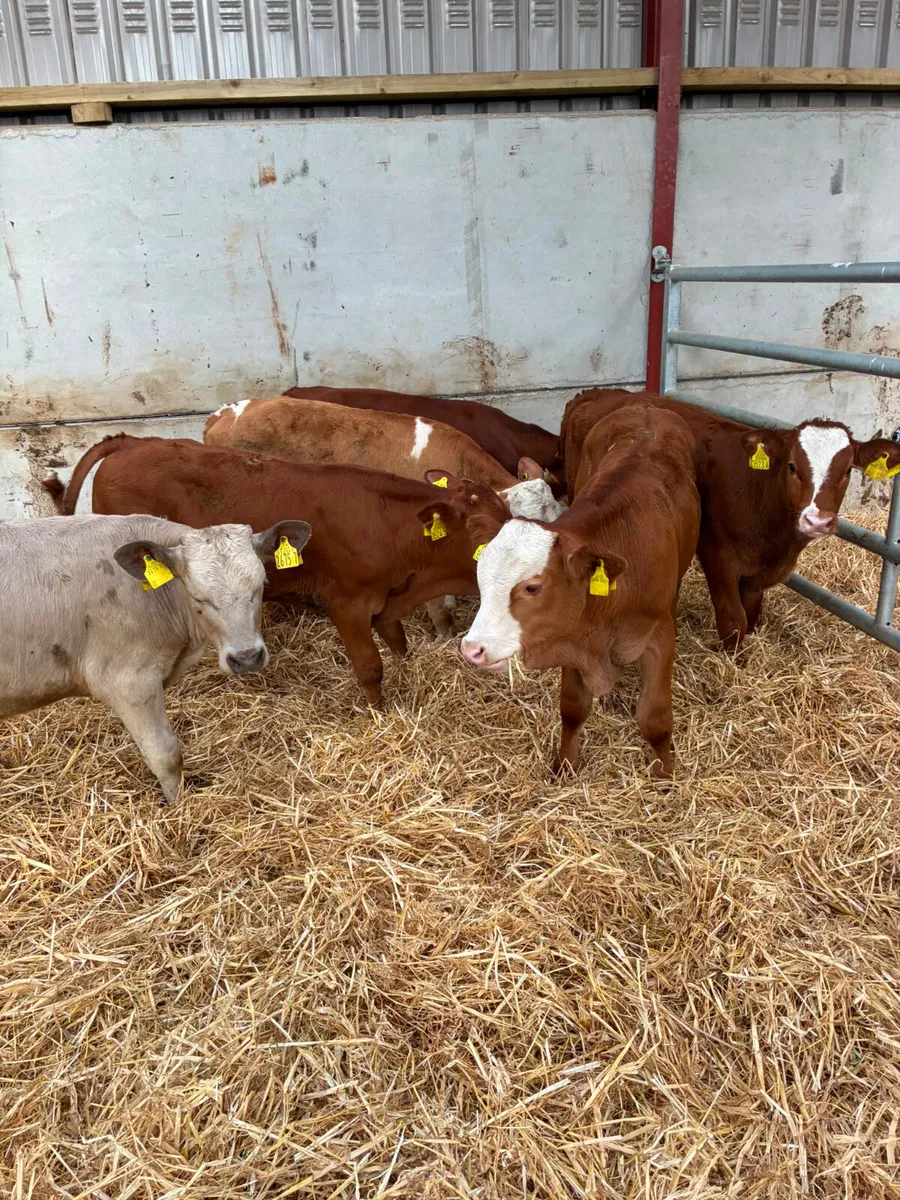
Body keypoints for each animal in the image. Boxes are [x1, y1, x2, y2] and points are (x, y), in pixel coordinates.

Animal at [0, 513, 310, 805]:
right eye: (199, 598)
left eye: (260, 586)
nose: (246, 657)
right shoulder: (129, 682)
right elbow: (165, 755)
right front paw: (178, 805)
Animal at [44, 435, 513, 708]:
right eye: (484, 530)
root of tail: (129, 441)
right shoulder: (347, 603)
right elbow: (370, 668)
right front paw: (378, 715)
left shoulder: (386, 600)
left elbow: (399, 646)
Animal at [461, 406, 701, 777]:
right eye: (481, 576)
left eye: (532, 587)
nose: (472, 649)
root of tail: (646, 406)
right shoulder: (570, 634)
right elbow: (572, 709)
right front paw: (565, 765)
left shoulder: (657, 637)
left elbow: (655, 719)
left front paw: (665, 775)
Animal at [562, 388, 900, 651]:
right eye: (792, 466)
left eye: (848, 471)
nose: (817, 521)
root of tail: (596, 393)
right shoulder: (719, 556)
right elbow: (733, 619)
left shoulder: (759, 574)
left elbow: (750, 614)